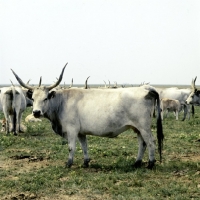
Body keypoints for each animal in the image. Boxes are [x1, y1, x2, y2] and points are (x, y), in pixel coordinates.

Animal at [11, 64, 164, 169]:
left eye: (45, 98)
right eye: (33, 98)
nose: (36, 112)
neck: (62, 102)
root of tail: (145, 88)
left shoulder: (72, 130)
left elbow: (71, 147)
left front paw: (69, 163)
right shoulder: (81, 132)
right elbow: (84, 146)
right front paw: (86, 162)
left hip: (144, 126)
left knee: (151, 142)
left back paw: (150, 164)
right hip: (137, 128)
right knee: (142, 143)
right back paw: (137, 163)